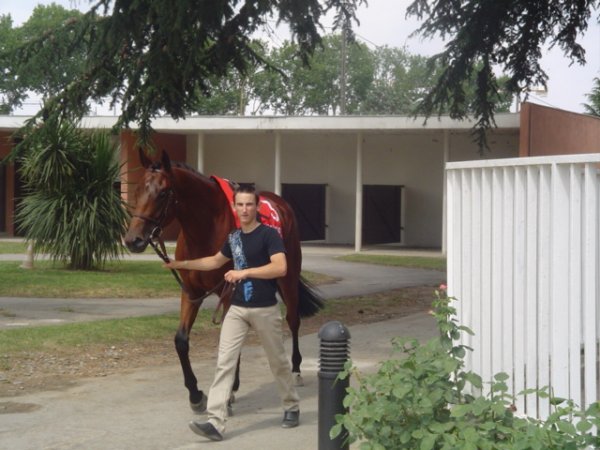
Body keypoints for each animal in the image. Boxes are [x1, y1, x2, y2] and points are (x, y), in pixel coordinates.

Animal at [122, 150, 326, 412]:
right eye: (137, 190)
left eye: (164, 193)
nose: (133, 240)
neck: (206, 228)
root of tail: (280, 203)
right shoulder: (191, 293)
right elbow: (181, 341)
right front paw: (196, 394)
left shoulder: (230, 291)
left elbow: (230, 339)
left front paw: (227, 392)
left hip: (287, 279)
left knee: (292, 320)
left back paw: (296, 370)